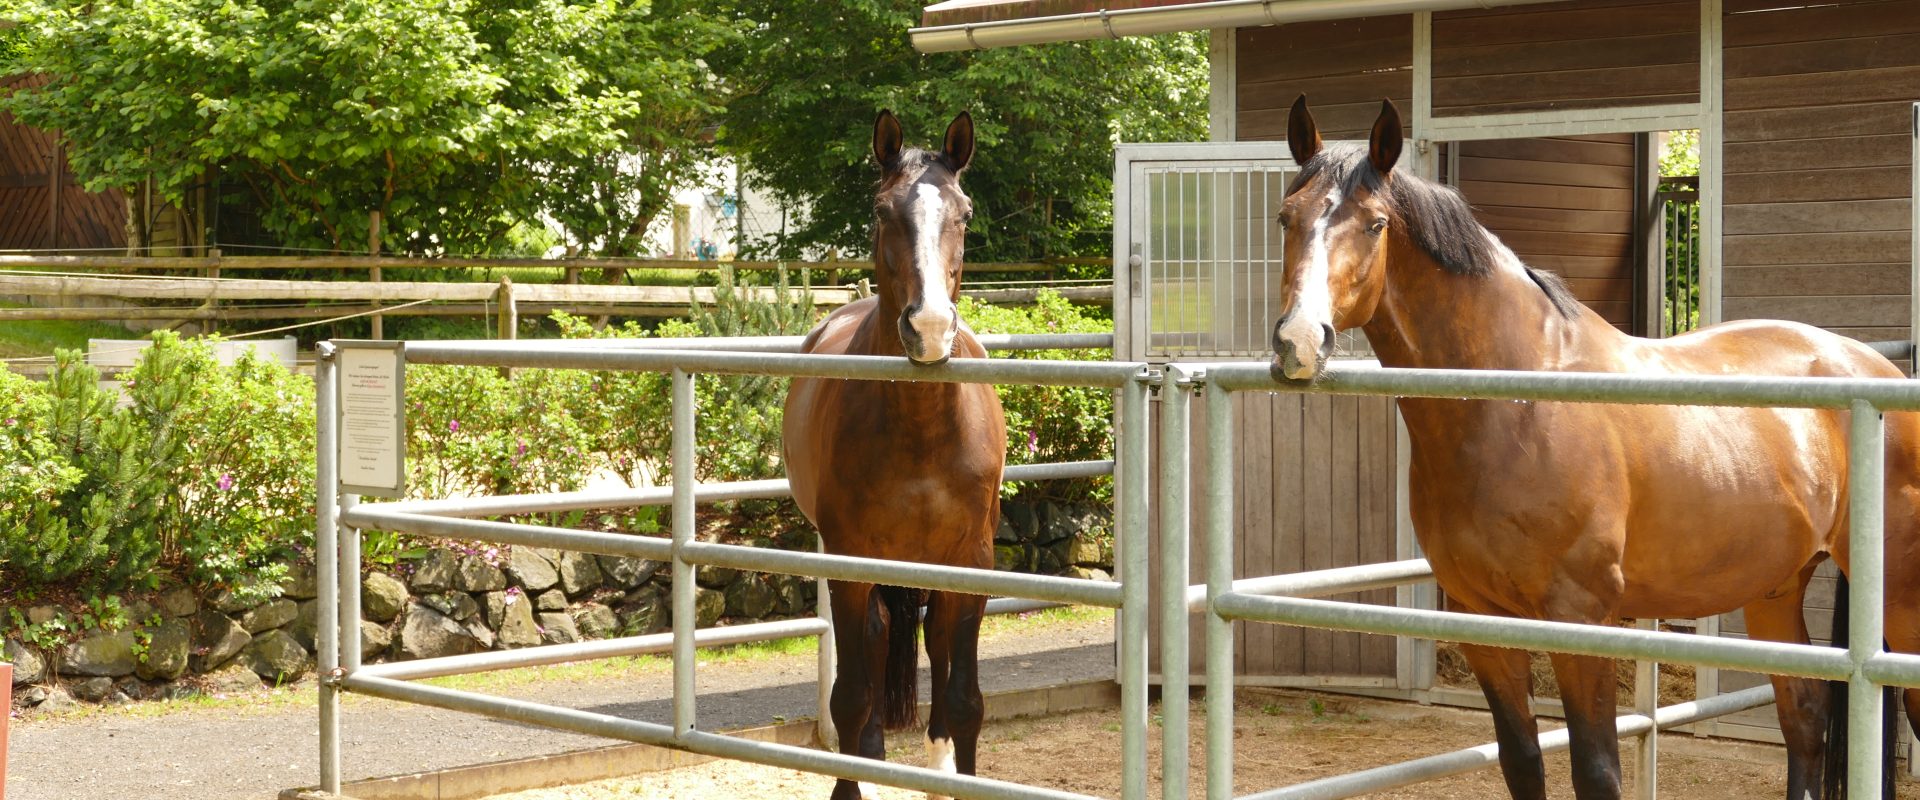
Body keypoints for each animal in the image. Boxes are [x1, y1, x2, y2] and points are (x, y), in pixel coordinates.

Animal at [783, 110, 1007, 800]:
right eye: (883, 211)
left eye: (965, 213)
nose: (929, 328)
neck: (921, 431)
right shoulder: (850, 561)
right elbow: (852, 695)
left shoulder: (973, 560)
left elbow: (963, 699)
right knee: (877, 646)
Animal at [1269, 95, 1920, 800]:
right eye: (1286, 216)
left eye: (1376, 223)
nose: (1299, 342)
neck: (1516, 403)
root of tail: (1875, 371)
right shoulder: (1481, 621)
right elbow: (1521, 760)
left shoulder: (1582, 620)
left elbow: (1597, 769)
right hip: (1775, 588)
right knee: (1804, 715)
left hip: (1900, 595)